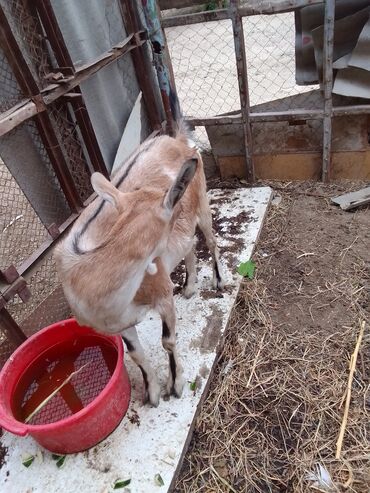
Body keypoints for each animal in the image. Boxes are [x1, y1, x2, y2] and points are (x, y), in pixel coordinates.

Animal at [53, 120, 224, 408]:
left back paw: (219, 281)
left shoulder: (163, 293)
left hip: (202, 202)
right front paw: (151, 394)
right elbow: (136, 355)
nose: (180, 204)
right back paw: (190, 287)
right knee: (189, 245)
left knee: (211, 242)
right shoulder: (120, 323)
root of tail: (176, 139)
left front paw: (175, 386)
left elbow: (168, 341)